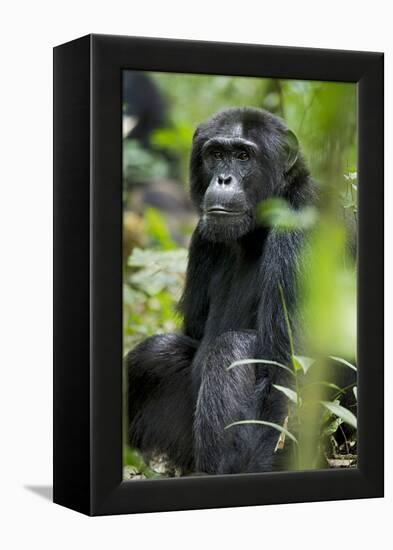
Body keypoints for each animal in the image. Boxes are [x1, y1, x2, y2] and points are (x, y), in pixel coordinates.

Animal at [125, 109, 312, 478]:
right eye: (215, 154)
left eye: (242, 156)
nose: (224, 179)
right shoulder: (201, 237)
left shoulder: (298, 238)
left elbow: (286, 379)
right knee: (156, 352)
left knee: (232, 349)